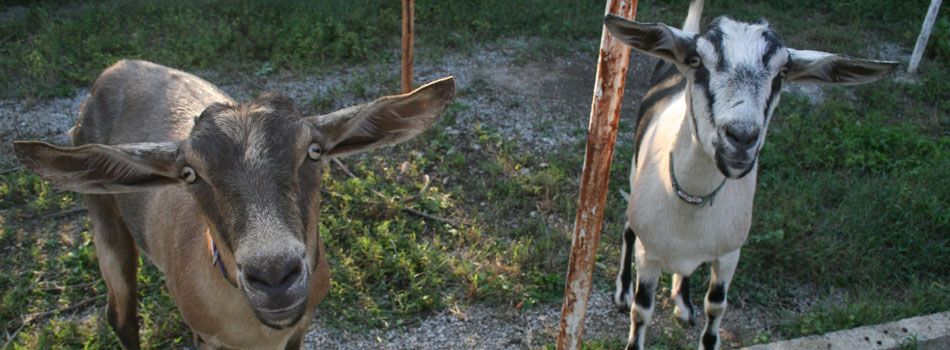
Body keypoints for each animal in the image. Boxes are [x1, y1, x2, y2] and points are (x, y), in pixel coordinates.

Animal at [12, 58, 458, 348]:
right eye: (190, 174)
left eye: (313, 151)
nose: (274, 276)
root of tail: (115, 68)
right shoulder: (206, 337)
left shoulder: (302, 324)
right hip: (103, 214)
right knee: (120, 316)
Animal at [608, 1, 896, 348]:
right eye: (697, 60)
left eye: (783, 72)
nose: (741, 137)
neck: (692, 203)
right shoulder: (648, 252)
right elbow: (641, 311)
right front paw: (631, 303)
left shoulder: (730, 253)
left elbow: (716, 308)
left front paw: (693, 310)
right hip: (634, 172)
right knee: (627, 228)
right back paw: (623, 291)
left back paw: (683, 304)